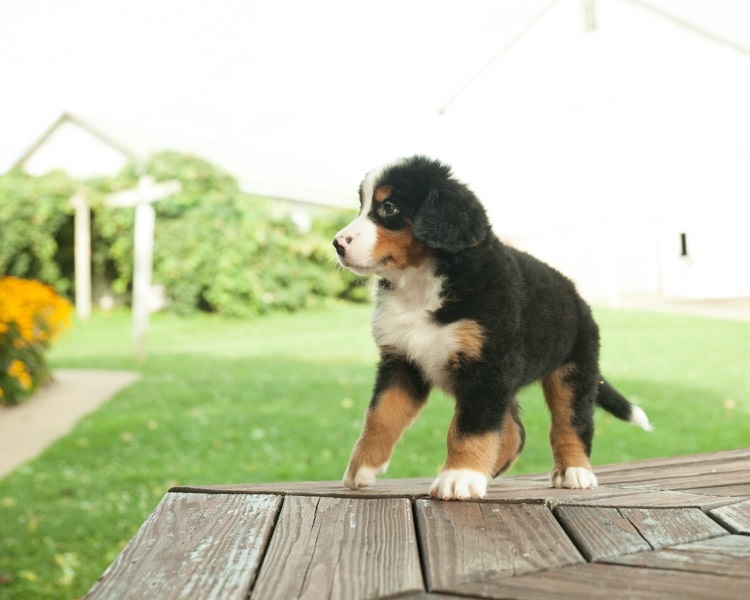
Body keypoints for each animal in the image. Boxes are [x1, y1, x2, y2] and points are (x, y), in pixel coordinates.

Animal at [334, 156, 652, 502]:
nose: (336, 243)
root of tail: (577, 296)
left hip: (573, 371)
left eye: (388, 208)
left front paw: (459, 476)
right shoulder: (403, 362)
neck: (420, 286)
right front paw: (362, 468)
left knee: (571, 421)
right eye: (363, 206)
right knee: (513, 431)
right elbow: (380, 416)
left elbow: (469, 428)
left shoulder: (486, 368)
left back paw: (575, 471)